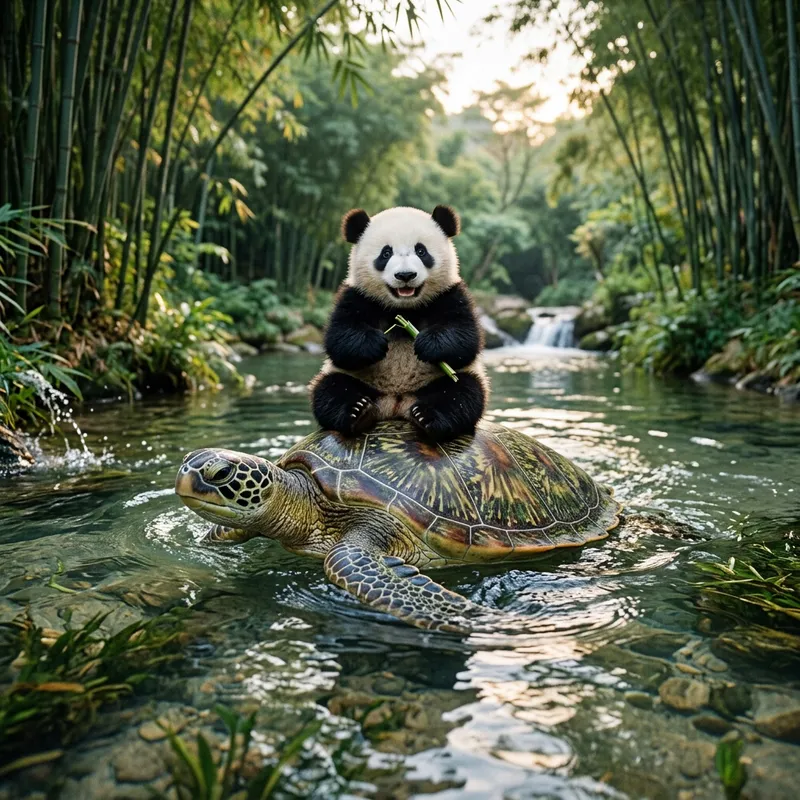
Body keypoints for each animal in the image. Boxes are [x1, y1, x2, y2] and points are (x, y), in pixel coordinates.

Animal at [310, 204, 488, 442]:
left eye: (421, 251)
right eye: (386, 253)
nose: (405, 275)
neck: (404, 307)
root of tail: (396, 402)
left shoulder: (450, 294)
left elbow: (465, 336)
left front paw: (427, 343)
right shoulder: (356, 296)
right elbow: (339, 338)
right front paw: (374, 343)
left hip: (447, 380)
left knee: (463, 393)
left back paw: (427, 416)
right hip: (354, 379)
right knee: (330, 390)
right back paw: (358, 411)